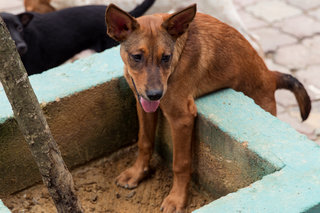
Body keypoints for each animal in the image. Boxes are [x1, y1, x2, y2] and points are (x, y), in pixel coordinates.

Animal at [105, 3, 310, 213]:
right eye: (136, 57)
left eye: (166, 57)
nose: (155, 94)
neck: (179, 55)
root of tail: (270, 75)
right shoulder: (143, 105)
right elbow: (144, 141)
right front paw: (137, 173)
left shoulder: (181, 118)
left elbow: (180, 163)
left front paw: (177, 198)